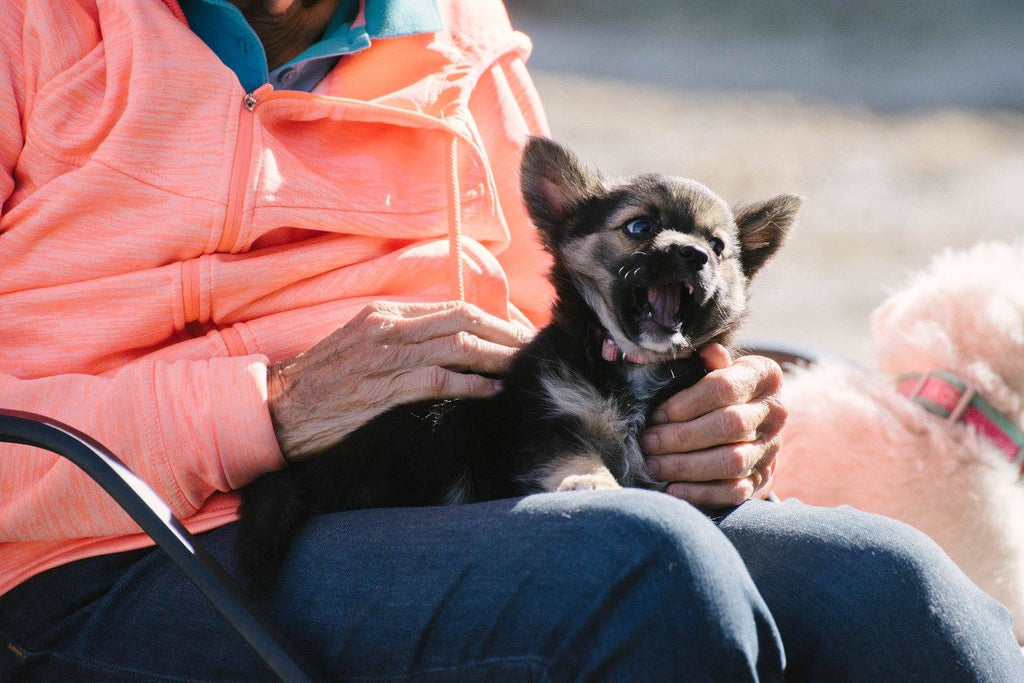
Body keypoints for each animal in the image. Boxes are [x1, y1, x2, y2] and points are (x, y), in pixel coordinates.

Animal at [237, 137, 798, 589]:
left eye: (718, 246)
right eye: (639, 226)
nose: (693, 256)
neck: (632, 363)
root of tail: (301, 477)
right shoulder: (547, 422)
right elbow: (574, 456)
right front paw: (593, 484)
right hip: (438, 420)